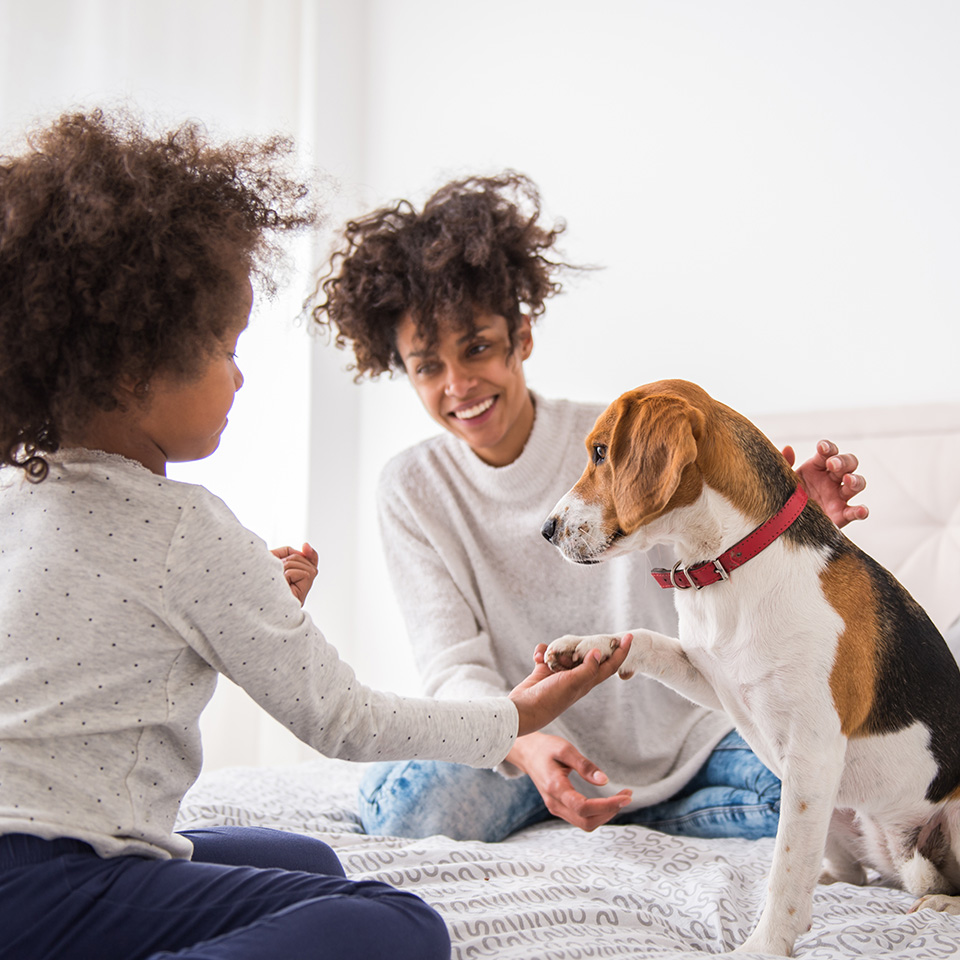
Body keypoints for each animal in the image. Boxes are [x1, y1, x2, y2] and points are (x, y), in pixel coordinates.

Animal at [544, 378, 960, 956]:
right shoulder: (713, 678)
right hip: (837, 812)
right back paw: (836, 880)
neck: (730, 563)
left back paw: (942, 902)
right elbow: (643, 640)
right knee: (853, 876)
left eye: (601, 452)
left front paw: (764, 945)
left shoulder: (811, 755)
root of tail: (901, 854)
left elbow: (785, 873)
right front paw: (590, 646)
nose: (546, 529)